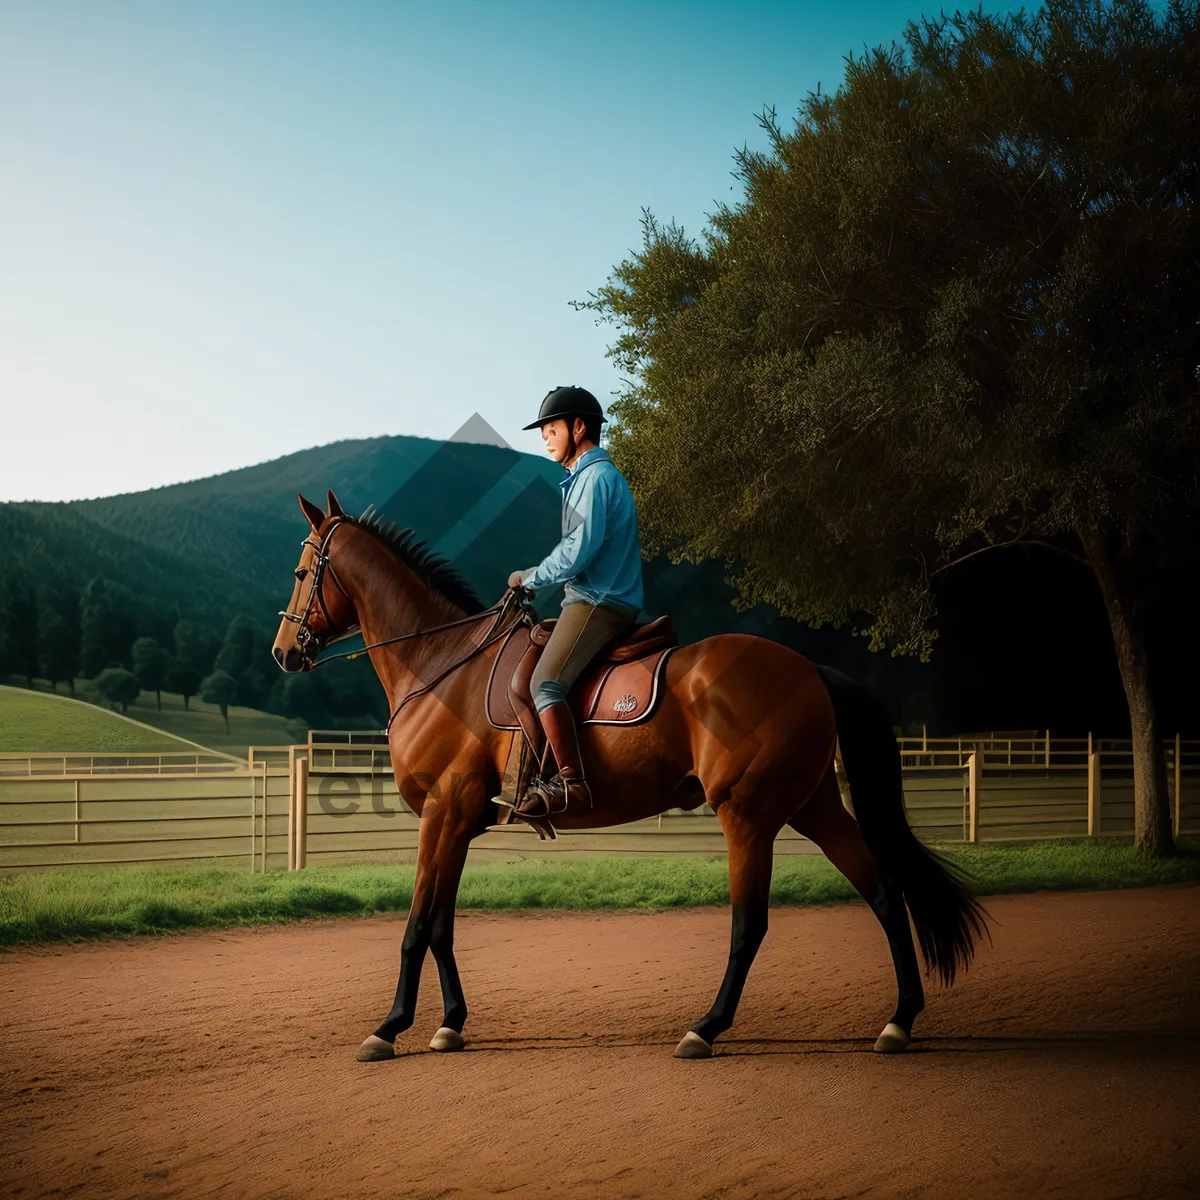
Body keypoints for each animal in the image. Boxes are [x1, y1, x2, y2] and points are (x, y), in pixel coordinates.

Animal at [276, 487, 988, 1060]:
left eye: (304, 568)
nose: (284, 652)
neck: (442, 664)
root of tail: (807, 668)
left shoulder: (442, 813)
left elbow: (417, 927)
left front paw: (389, 1027)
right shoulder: (455, 822)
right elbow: (443, 928)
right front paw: (449, 1023)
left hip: (748, 814)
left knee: (750, 925)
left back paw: (707, 1028)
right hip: (813, 806)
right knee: (885, 895)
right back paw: (899, 1021)